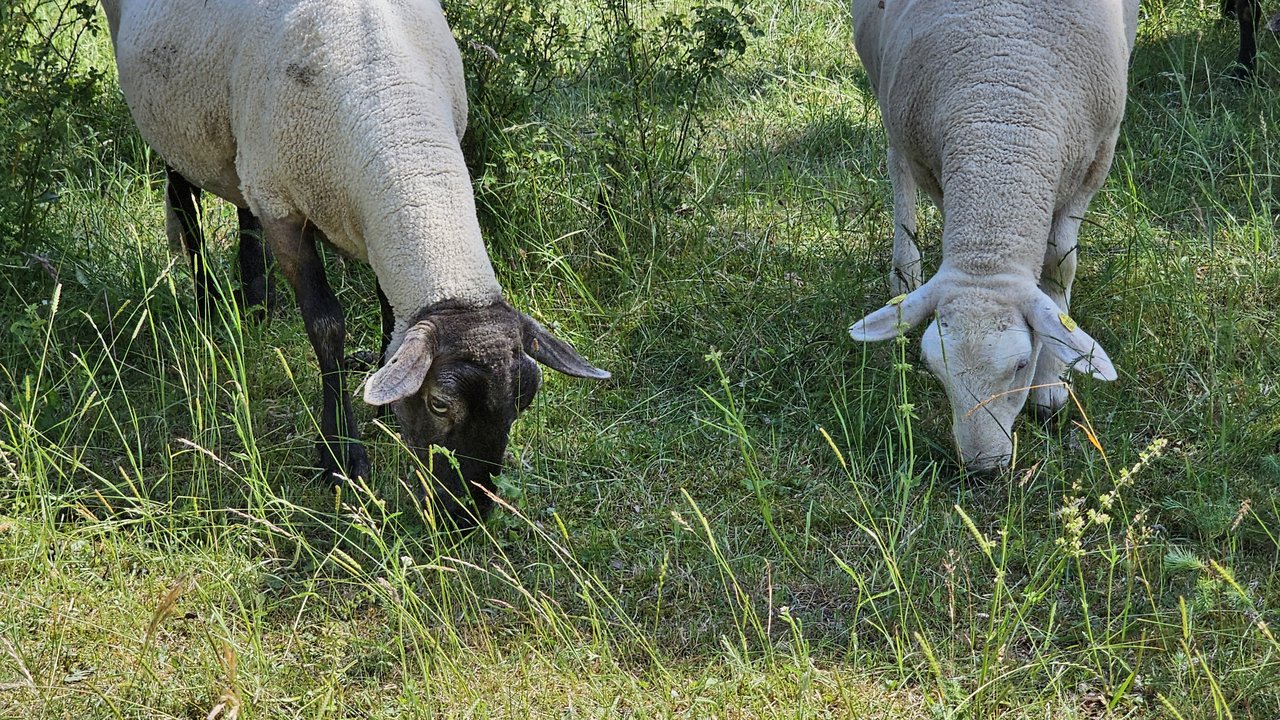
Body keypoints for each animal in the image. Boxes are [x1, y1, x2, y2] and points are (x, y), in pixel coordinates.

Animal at [101, 0, 610, 525]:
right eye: (439, 403)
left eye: (525, 398)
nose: (468, 517)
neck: (391, 105)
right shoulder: (283, 206)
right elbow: (326, 325)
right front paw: (341, 454)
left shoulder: (368, 220)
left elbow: (389, 312)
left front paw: (382, 405)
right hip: (173, 125)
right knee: (186, 203)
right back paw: (206, 308)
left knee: (241, 202)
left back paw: (257, 302)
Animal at [847, 0, 1137, 471]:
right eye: (933, 368)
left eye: (1021, 365)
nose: (983, 468)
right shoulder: (932, 165)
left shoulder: (1096, 158)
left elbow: (1060, 265)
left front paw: (1052, 385)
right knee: (896, 163)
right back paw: (905, 273)